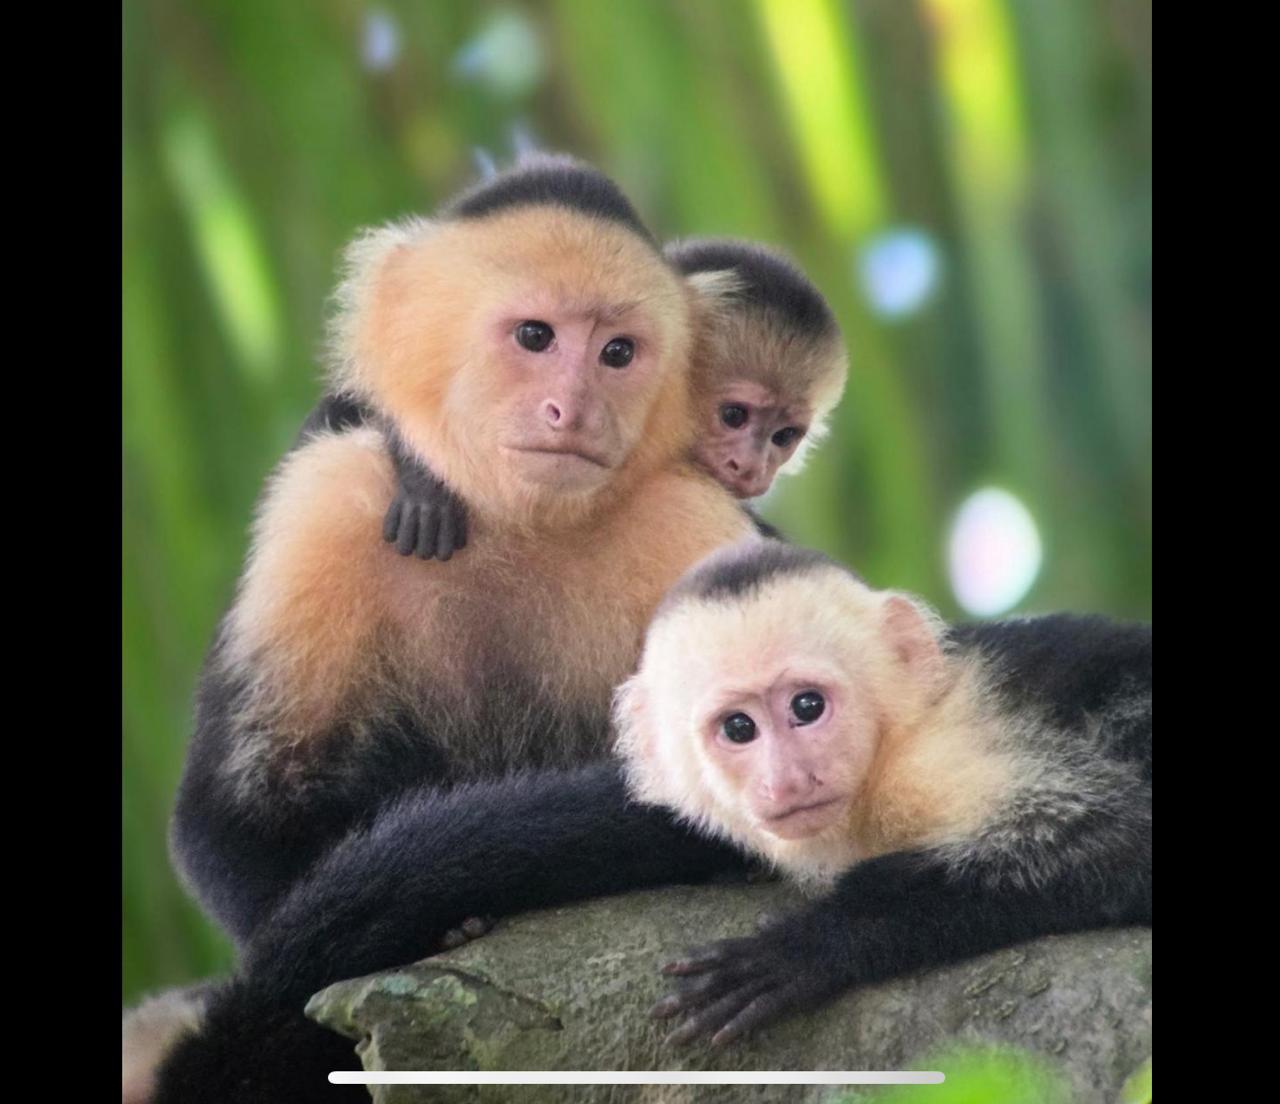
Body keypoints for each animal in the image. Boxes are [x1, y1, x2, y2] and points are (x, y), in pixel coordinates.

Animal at [152, 155, 766, 1103]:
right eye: (536, 337)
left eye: (618, 353)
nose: (572, 409)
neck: (515, 522)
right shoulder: (327, 497)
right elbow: (233, 815)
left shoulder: (688, 521)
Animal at [611, 539, 1151, 1046]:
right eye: (739, 728)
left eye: (807, 706)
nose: (786, 780)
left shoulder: (933, 759)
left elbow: (1117, 838)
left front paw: (808, 946)